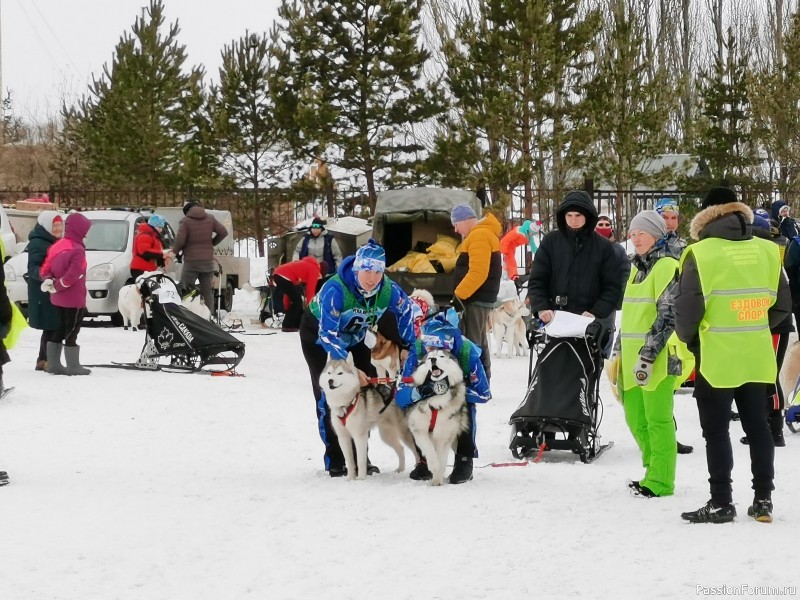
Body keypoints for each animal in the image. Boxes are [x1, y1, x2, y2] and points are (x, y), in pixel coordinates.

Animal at [406, 350, 468, 486]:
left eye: (441, 356)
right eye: (429, 358)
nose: (433, 359)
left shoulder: (444, 436)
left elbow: (441, 458)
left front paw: (438, 479)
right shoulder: (419, 430)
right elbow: (430, 451)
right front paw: (434, 467)